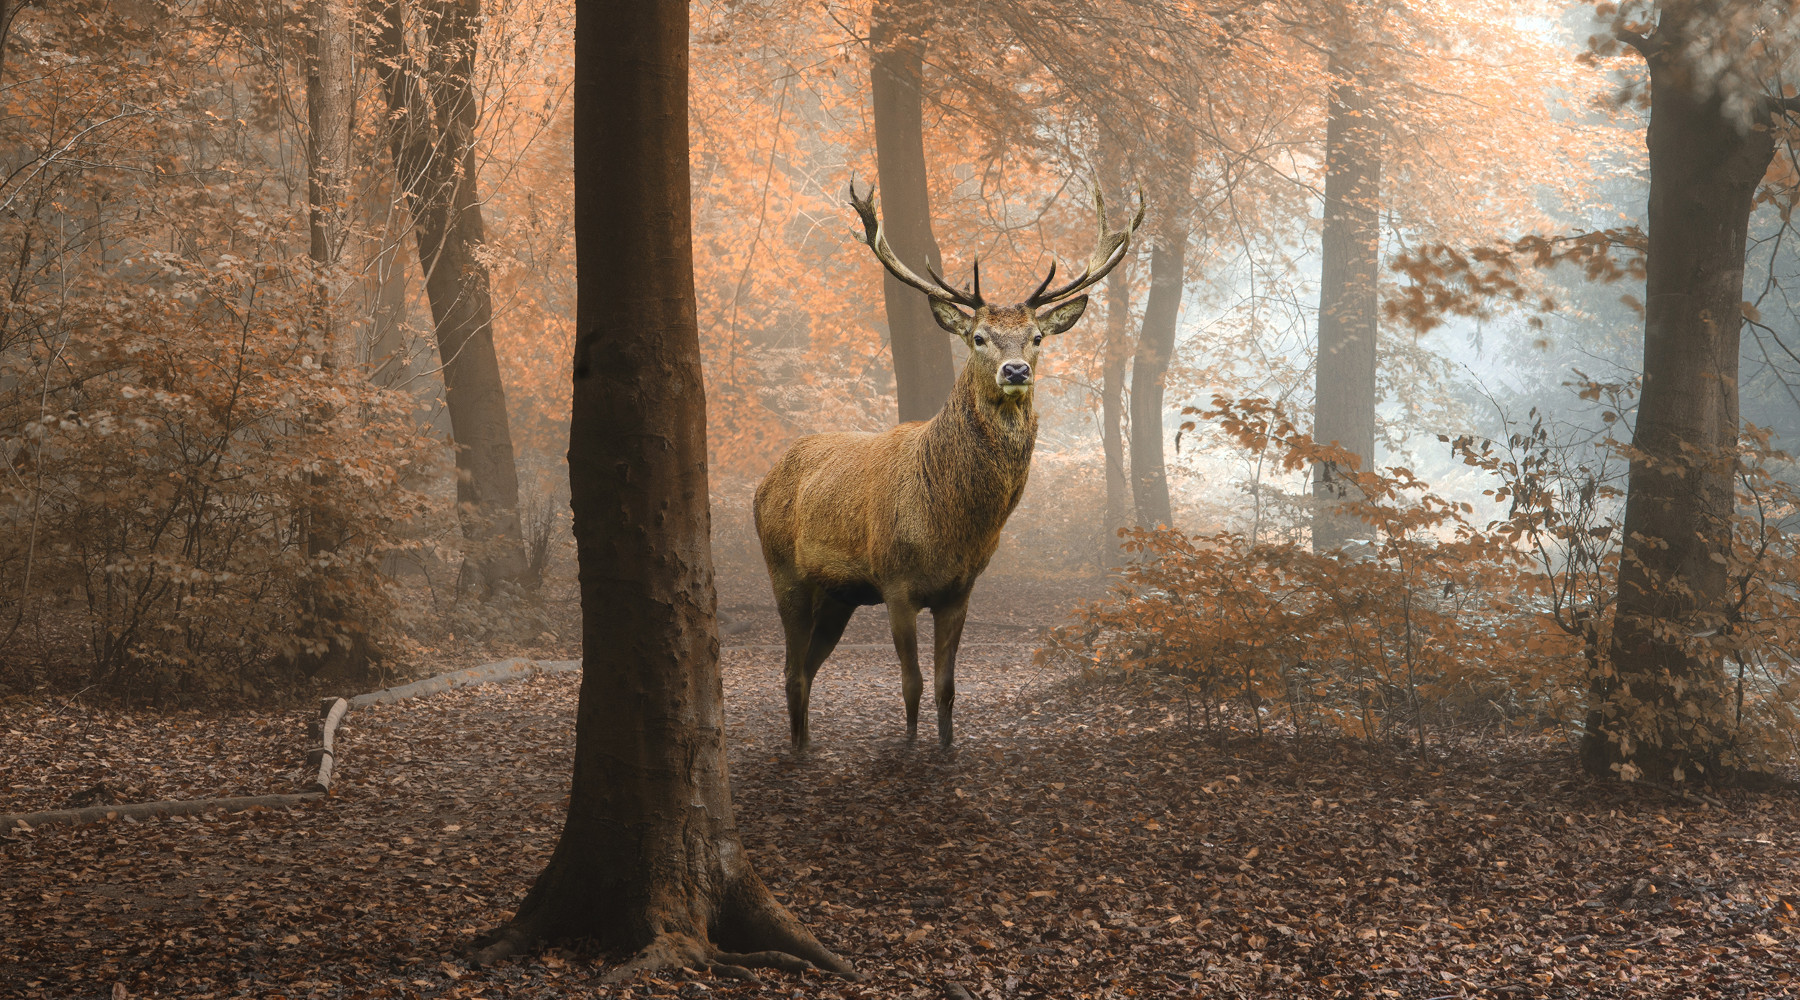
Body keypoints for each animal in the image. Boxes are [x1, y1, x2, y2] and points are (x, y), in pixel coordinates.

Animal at [753, 180, 1143, 748]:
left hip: (839, 596)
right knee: (790, 670)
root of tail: (762, 482)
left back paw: (806, 746)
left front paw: (945, 747)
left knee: (806, 667)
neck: (949, 524)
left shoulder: (960, 590)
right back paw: (799, 750)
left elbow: (946, 688)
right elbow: (912, 684)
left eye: (1037, 337)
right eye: (978, 337)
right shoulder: (895, 583)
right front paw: (911, 747)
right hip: (784, 570)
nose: (1016, 370)